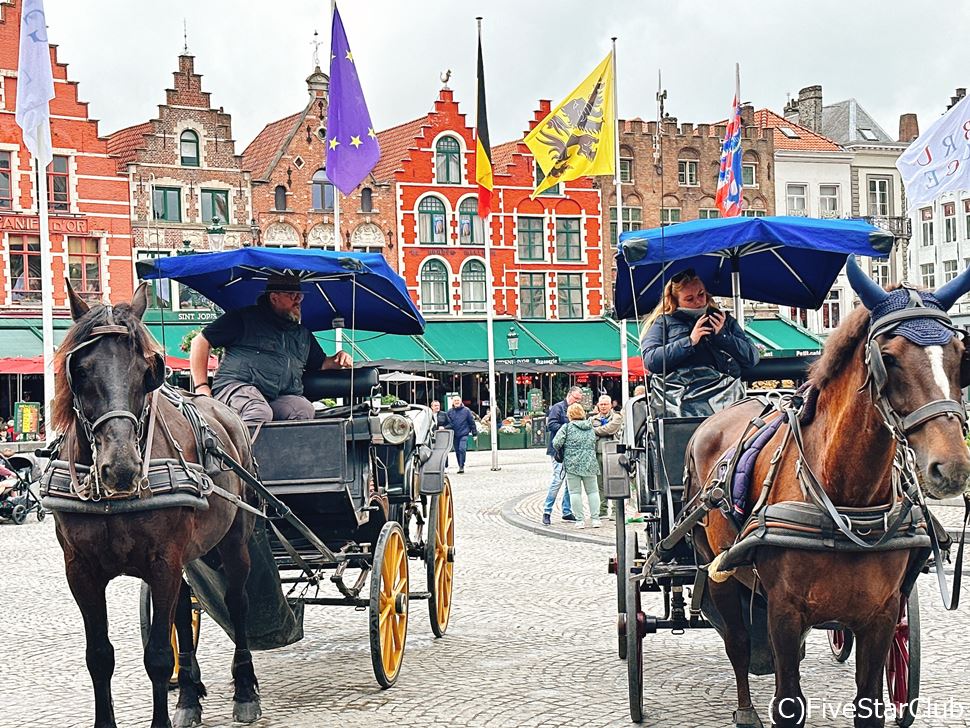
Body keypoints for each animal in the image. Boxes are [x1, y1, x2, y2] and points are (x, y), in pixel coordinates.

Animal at [49, 282, 260, 728]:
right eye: (80, 369)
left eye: (148, 371)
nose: (121, 467)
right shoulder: (80, 570)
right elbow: (100, 656)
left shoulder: (163, 560)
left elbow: (160, 657)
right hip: (187, 558)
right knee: (182, 614)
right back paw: (190, 696)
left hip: (234, 541)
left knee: (238, 603)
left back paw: (245, 689)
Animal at [684, 258, 968, 724]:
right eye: (888, 358)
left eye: (961, 356)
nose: (952, 467)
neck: (848, 503)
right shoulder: (785, 611)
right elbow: (787, 702)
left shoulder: (881, 614)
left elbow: (869, 701)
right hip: (715, 568)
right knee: (738, 644)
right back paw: (745, 709)